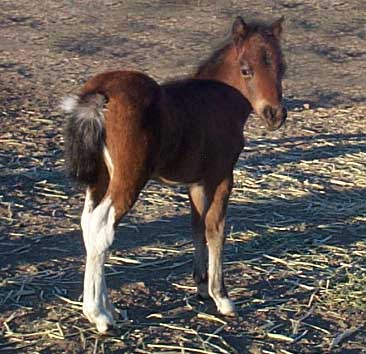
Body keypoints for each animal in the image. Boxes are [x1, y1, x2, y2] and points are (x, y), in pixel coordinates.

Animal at [62, 15, 286, 332]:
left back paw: (107, 309)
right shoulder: (221, 176)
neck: (217, 101)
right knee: (102, 228)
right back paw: (100, 315)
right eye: (246, 69)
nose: (275, 115)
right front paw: (222, 298)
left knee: (87, 225)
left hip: (100, 177)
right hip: (130, 177)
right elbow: (216, 229)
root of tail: (99, 93)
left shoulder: (196, 183)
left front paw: (202, 288)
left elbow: (197, 226)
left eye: (282, 67)